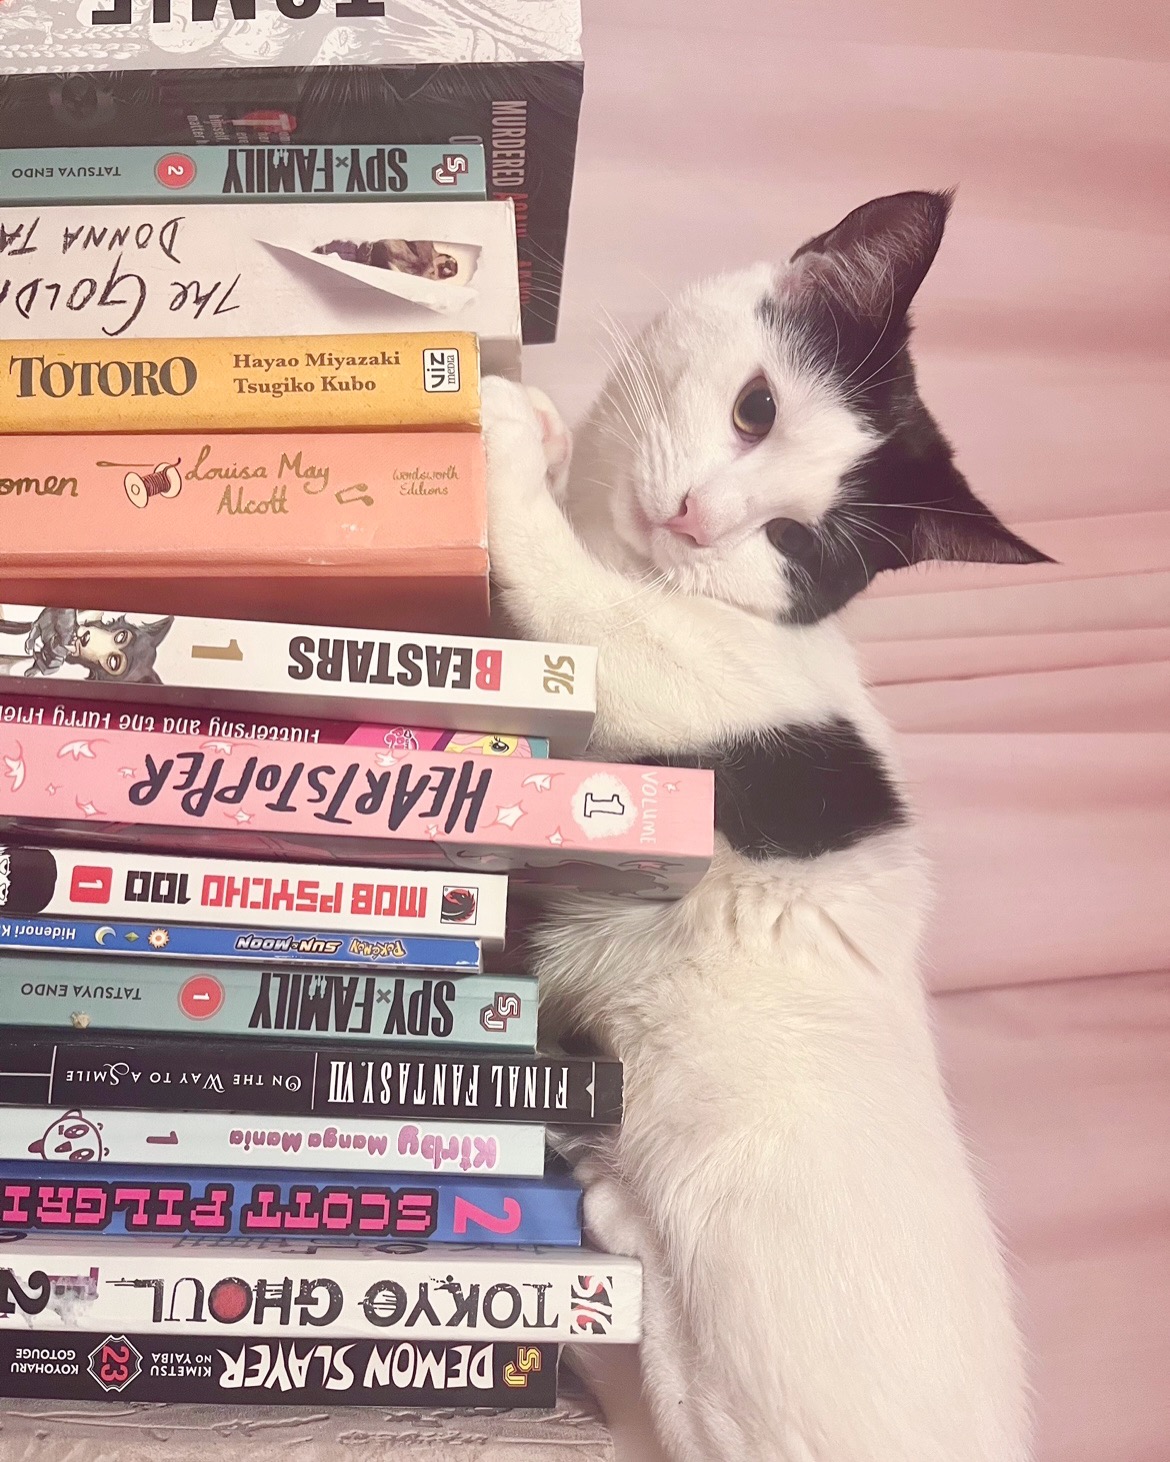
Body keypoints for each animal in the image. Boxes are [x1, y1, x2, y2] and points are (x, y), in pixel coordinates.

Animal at [479, 194, 1047, 1462]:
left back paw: (603, 1192)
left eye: (795, 543)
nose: (699, 520)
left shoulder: (675, 675)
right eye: (754, 409)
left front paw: (510, 433)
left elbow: (584, 603)